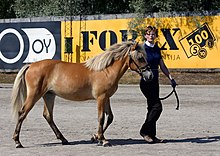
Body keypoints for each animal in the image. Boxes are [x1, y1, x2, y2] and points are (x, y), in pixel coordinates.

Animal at [10, 40, 153, 147]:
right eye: (140, 58)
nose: (150, 75)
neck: (105, 70)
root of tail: (31, 65)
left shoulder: (107, 98)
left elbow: (110, 117)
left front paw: (95, 137)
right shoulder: (101, 98)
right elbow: (101, 117)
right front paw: (103, 140)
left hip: (49, 95)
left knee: (48, 116)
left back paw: (63, 139)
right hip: (34, 95)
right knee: (22, 113)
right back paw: (17, 142)